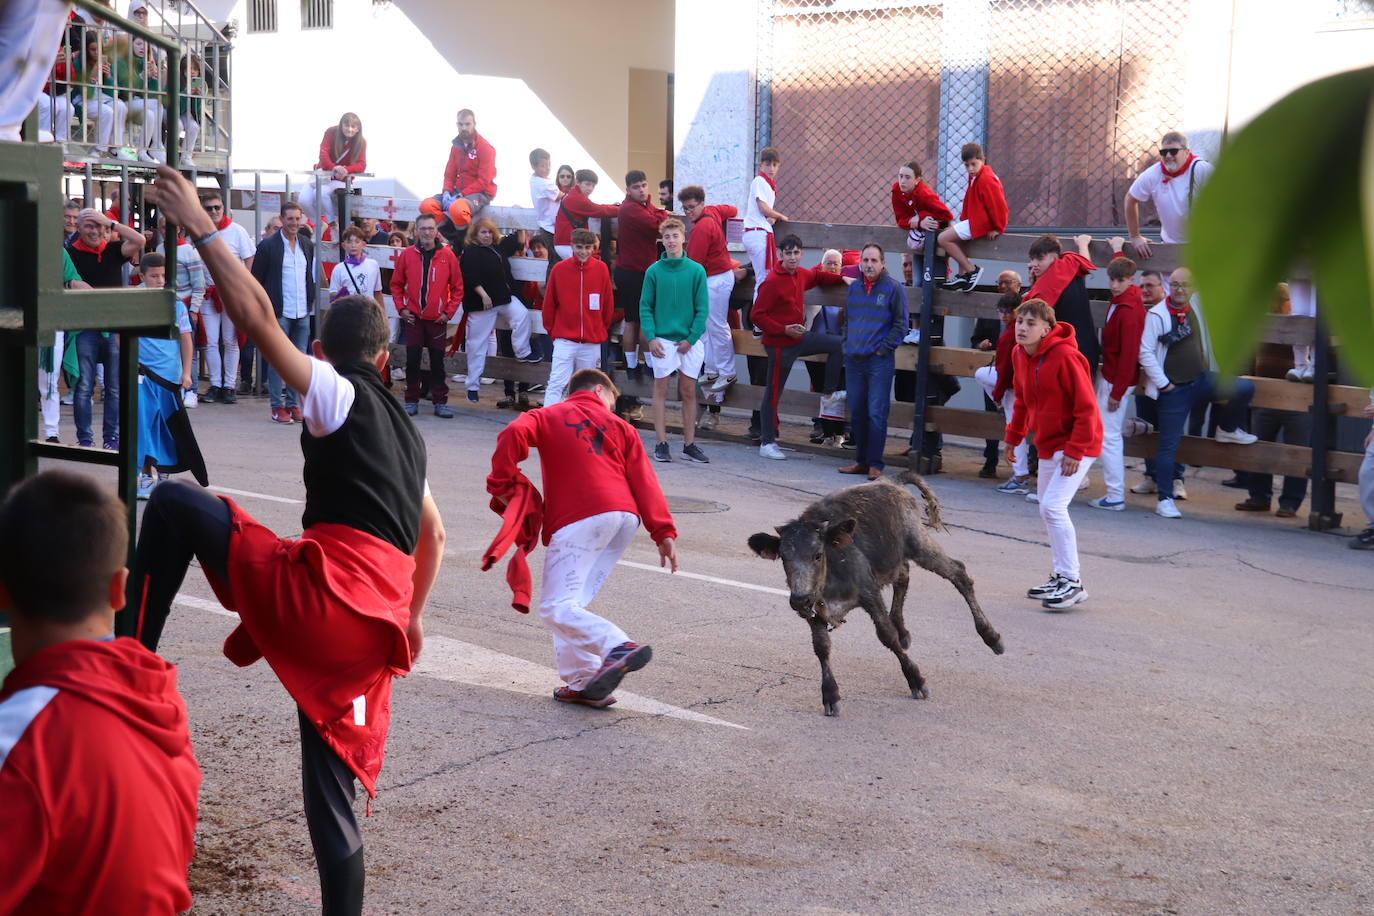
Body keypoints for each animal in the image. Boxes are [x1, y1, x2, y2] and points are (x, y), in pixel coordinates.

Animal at [752, 472, 1000, 714]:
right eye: (784, 557)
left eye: (817, 555)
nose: (799, 600)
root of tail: (890, 481)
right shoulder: (814, 612)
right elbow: (821, 647)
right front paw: (830, 695)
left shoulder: (869, 595)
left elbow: (886, 635)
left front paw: (916, 680)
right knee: (904, 575)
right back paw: (904, 631)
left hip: (920, 546)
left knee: (958, 573)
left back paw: (991, 636)